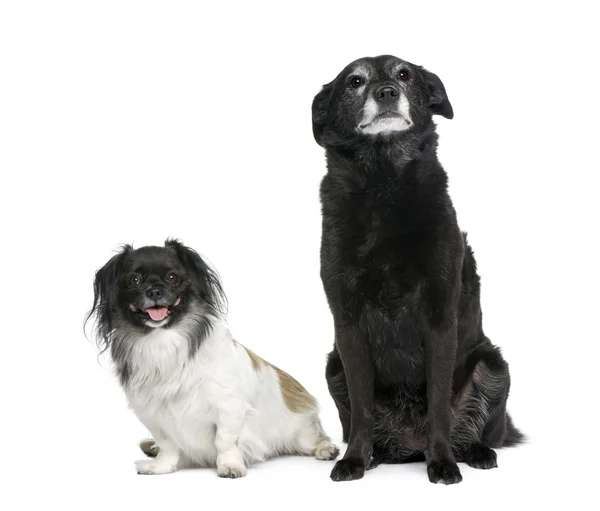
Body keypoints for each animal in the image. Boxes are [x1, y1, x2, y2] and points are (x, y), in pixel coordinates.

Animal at [86, 238, 340, 478]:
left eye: (172, 277)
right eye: (134, 280)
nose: (155, 291)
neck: (163, 341)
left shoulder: (229, 408)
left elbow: (225, 441)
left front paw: (230, 466)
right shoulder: (153, 416)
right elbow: (168, 445)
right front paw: (161, 467)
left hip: (303, 435)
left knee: (317, 439)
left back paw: (326, 449)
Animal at [312, 55, 524, 484]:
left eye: (404, 74)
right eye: (355, 81)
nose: (386, 92)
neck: (384, 182)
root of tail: (410, 446)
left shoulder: (440, 320)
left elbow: (438, 405)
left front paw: (442, 463)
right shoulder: (349, 327)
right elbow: (361, 409)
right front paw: (354, 460)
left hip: (492, 365)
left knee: (477, 431)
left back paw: (473, 452)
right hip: (333, 367)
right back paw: (375, 454)